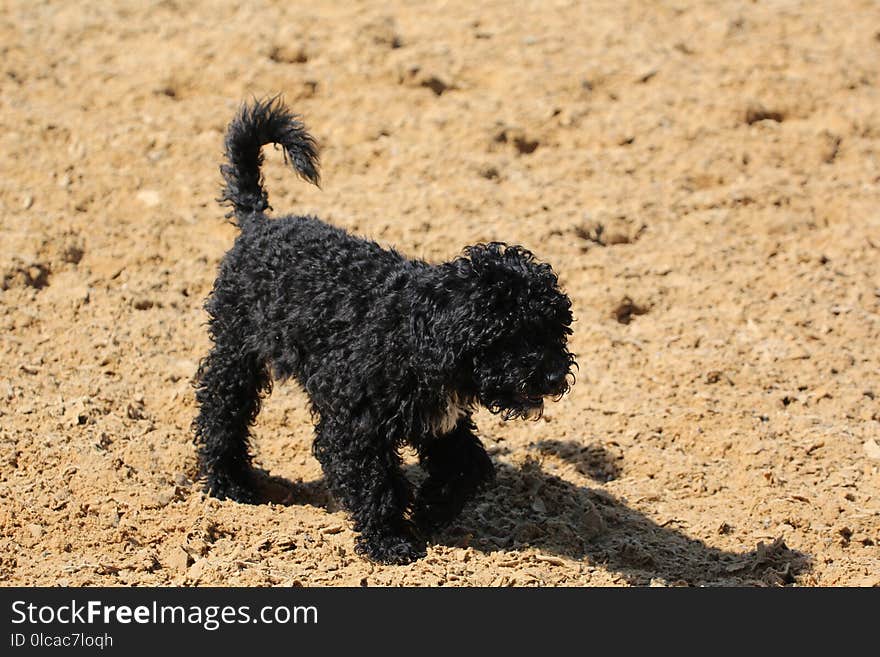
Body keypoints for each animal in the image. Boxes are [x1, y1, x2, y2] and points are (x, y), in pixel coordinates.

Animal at [193, 98, 576, 564]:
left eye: (557, 327)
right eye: (509, 333)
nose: (555, 376)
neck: (416, 332)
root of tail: (259, 225)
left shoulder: (441, 425)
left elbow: (467, 469)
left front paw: (429, 514)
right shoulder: (356, 428)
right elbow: (377, 487)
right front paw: (390, 543)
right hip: (237, 349)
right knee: (220, 410)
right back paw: (227, 485)